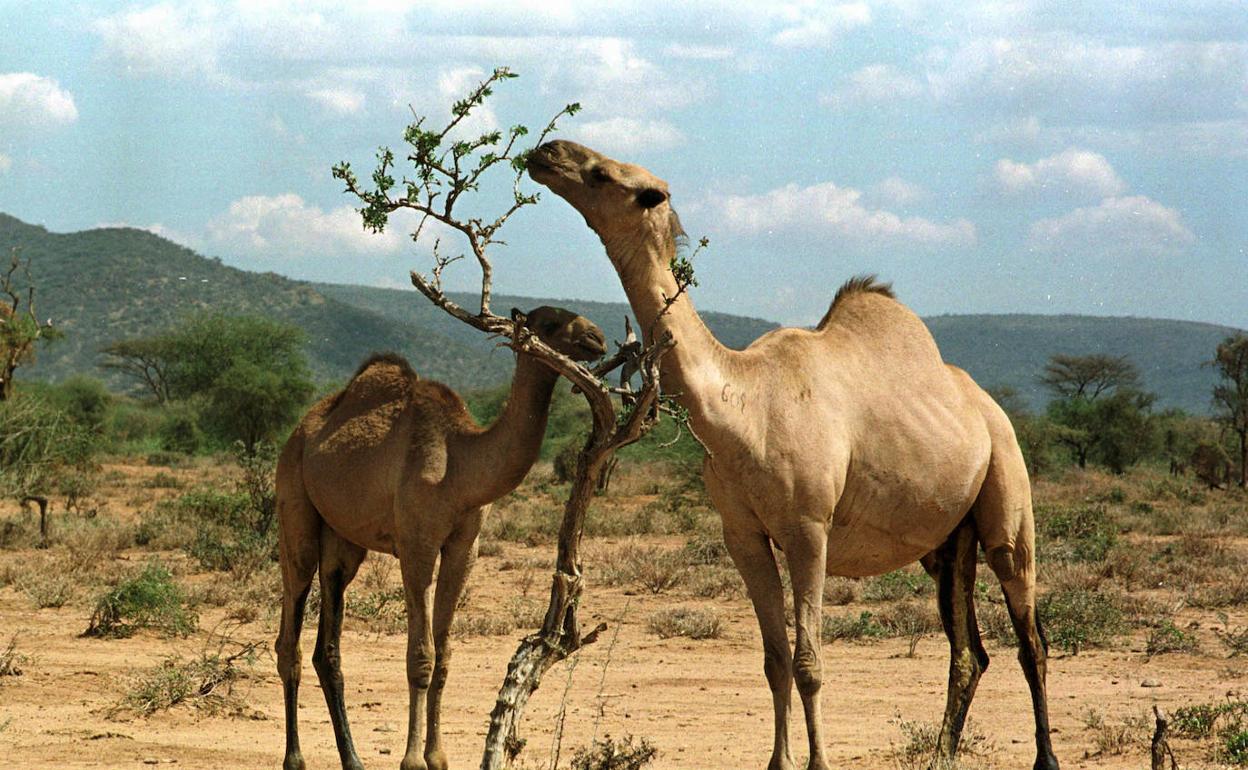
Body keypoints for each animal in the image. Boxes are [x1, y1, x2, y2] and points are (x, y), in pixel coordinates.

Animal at [275, 305, 606, 768]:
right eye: (550, 323)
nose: (596, 339)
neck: (461, 463)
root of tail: (301, 431)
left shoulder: (464, 547)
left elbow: (445, 657)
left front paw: (438, 756)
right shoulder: (417, 543)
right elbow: (421, 657)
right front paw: (413, 759)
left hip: (343, 542)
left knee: (329, 647)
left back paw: (353, 759)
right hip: (294, 509)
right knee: (289, 635)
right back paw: (295, 759)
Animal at [529, 139, 1063, 768]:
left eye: (604, 175)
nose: (545, 152)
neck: (744, 408)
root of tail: (988, 409)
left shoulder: (810, 528)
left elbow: (809, 663)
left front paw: (817, 761)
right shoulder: (742, 534)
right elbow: (774, 659)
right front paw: (778, 760)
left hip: (1007, 492)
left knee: (1030, 637)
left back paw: (1044, 757)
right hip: (949, 541)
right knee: (968, 651)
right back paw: (941, 754)